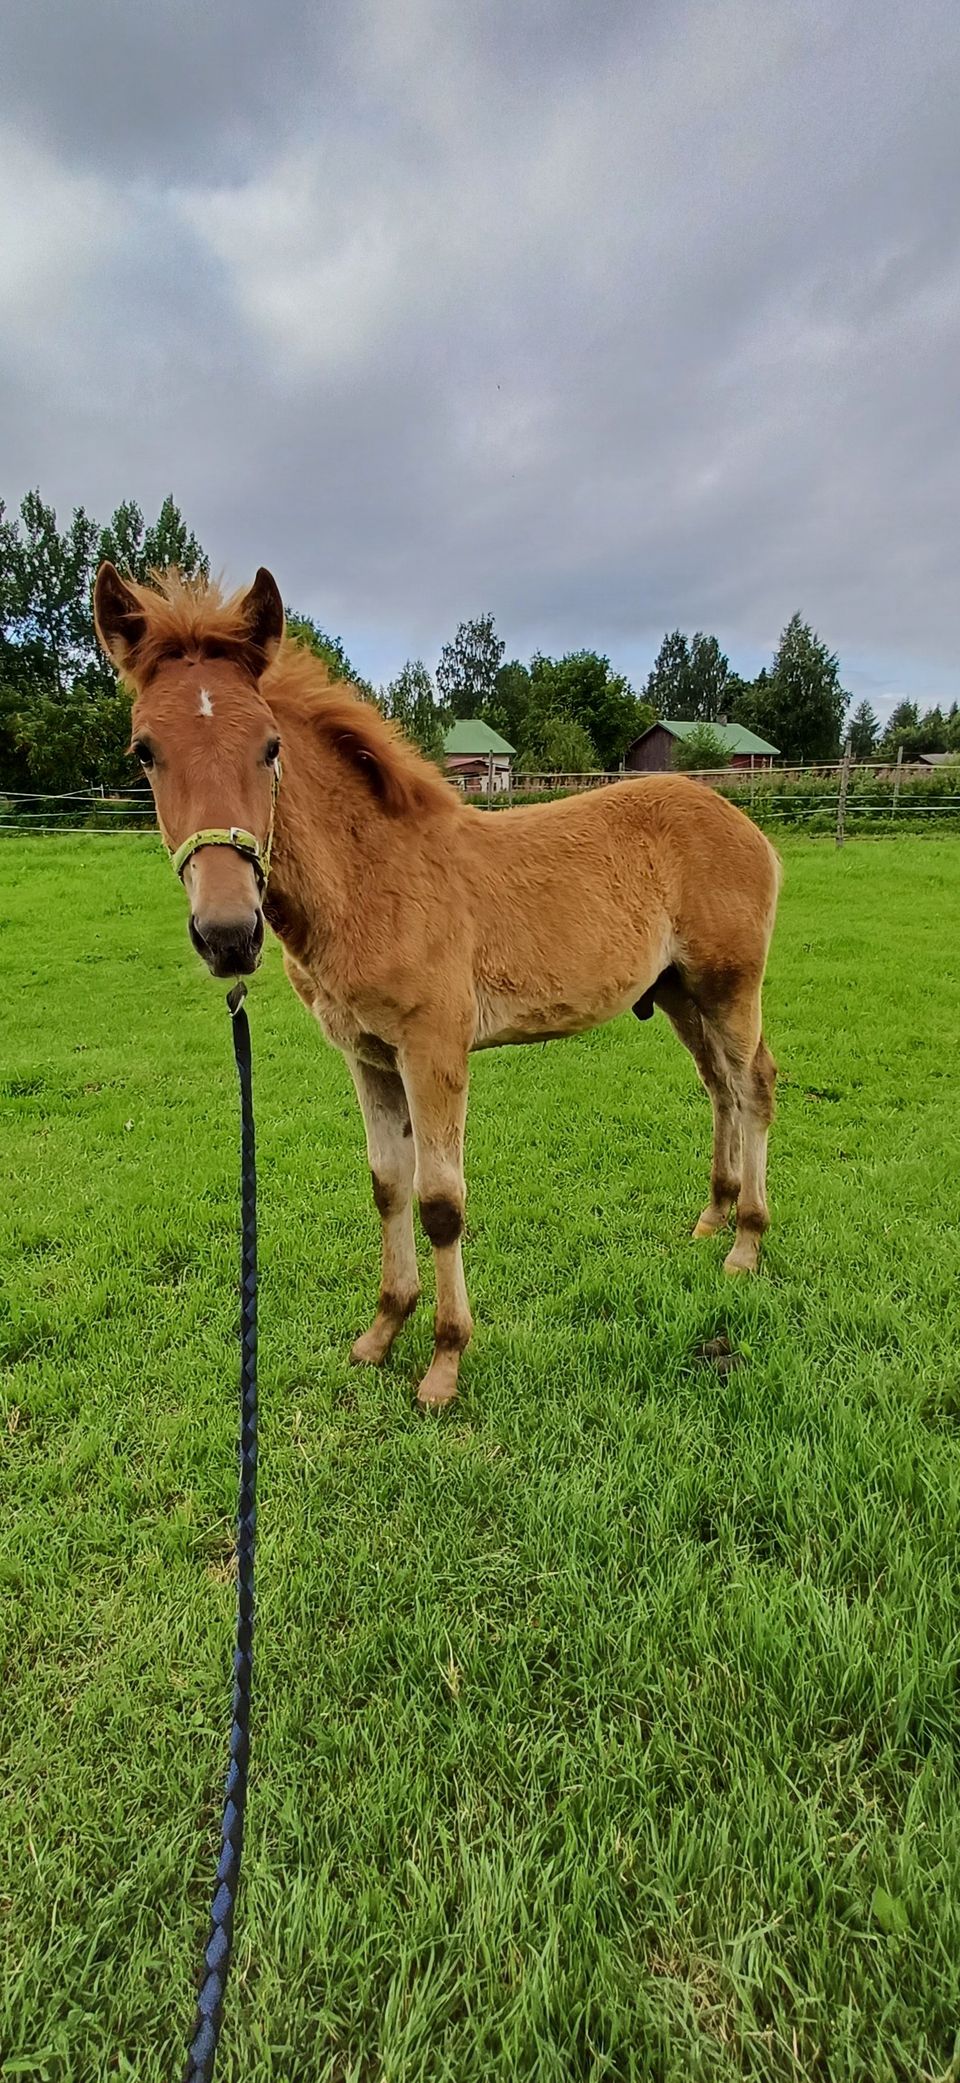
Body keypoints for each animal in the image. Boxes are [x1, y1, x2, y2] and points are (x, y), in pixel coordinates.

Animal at [95, 562, 778, 1408]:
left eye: (270, 746)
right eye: (145, 751)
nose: (227, 933)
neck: (373, 880)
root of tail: (743, 822)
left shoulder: (434, 1049)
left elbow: (441, 1203)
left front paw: (445, 1363)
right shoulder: (368, 1054)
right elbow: (388, 1185)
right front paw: (383, 1330)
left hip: (729, 986)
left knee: (753, 1084)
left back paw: (746, 1244)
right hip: (683, 993)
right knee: (719, 1086)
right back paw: (712, 1217)